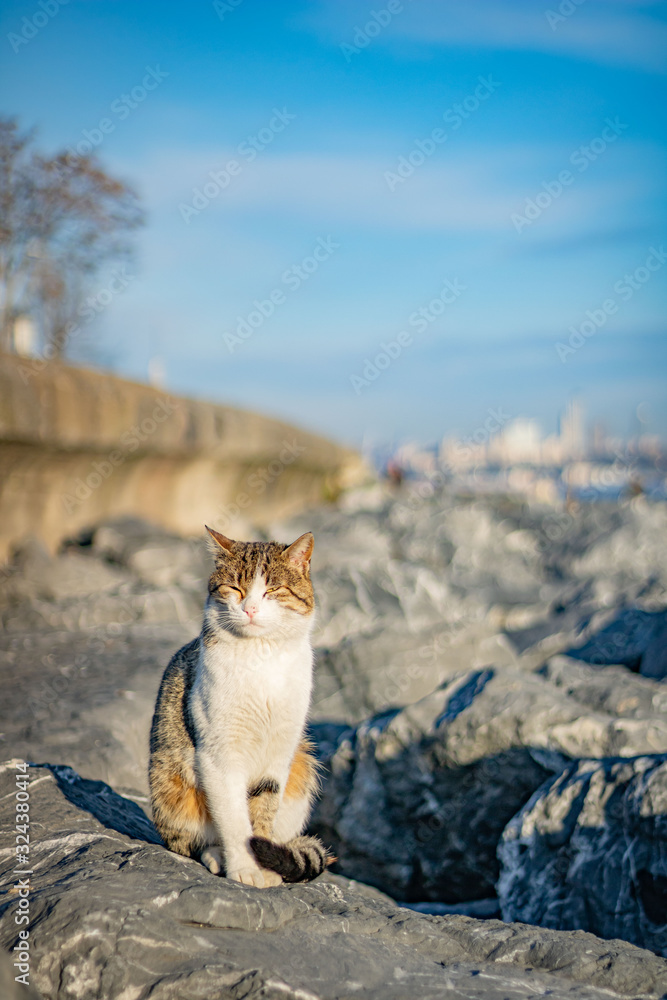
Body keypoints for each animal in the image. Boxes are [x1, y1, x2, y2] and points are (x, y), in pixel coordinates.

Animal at [149, 528, 332, 888]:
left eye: (273, 589)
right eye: (235, 588)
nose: (250, 609)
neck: (262, 657)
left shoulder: (280, 754)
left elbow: (262, 813)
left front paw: (265, 865)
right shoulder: (219, 754)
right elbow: (234, 820)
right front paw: (244, 869)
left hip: (302, 764)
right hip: (169, 782)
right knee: (192, 842)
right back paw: (216, 857)